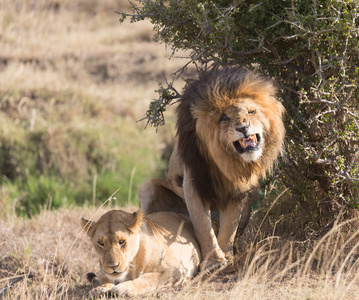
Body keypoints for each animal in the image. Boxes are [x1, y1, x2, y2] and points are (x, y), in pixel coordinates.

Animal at [139, 67, 286, 268]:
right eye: (225, 117)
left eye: (251, 111)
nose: (243, 127)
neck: (226, 160)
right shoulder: (193, 183)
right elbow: (202, 226)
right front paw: (213, 261)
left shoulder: (238, 190)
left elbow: (229, 228)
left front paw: (227, 256)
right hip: (146, 187)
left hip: (247, 208)